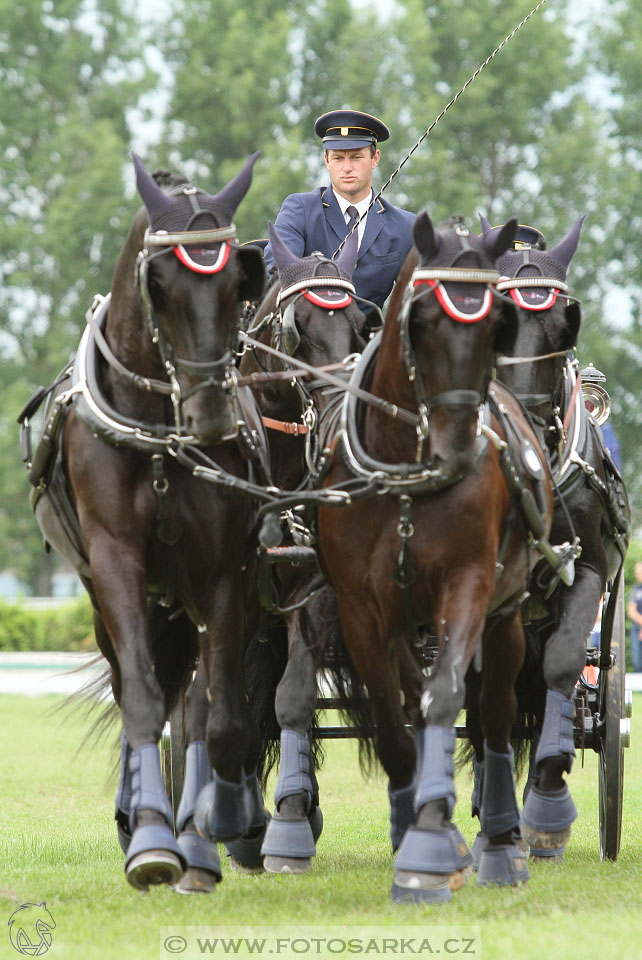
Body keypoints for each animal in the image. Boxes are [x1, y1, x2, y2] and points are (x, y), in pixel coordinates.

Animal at [22, 152, 268, 892]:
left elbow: (218, 716)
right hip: (115, 600)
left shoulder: (220, 572)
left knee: (195, 700)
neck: (158, 432)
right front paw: (153, 839)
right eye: (157, 281)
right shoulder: (115, 565)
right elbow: (140, 698)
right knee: (143, 685)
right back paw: (141, 821)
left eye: (238, 280)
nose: (211, 414)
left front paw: (213, 826)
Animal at [318, 214, 556, 904]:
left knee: (494, 715)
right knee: (410, 699)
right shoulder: (359, 609)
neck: (407, 468)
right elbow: (393, 721)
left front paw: (432, 846)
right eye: (420, 318)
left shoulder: (469, 585)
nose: (456, 450)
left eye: (497, 321)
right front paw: (415, 832)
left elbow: (448, 698)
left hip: (506, 615)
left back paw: (502, 842)